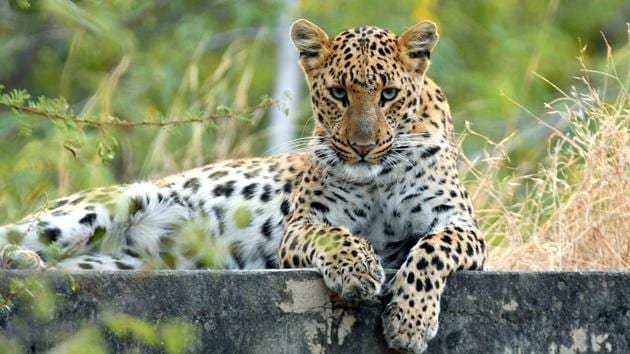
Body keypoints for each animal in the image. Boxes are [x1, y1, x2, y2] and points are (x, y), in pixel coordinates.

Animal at [0, 20, 488, 354]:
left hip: (110, 264)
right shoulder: (303, 225)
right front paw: (359, 271)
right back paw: (23, 259)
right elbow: (336, 237)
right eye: (338, 93)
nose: (362, 147)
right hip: (105, 205)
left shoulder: (463, 226)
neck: (377, 180)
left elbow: (430, 250)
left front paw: (409, 321)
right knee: (17, 234)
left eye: (388, 95)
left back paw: (32, 265)